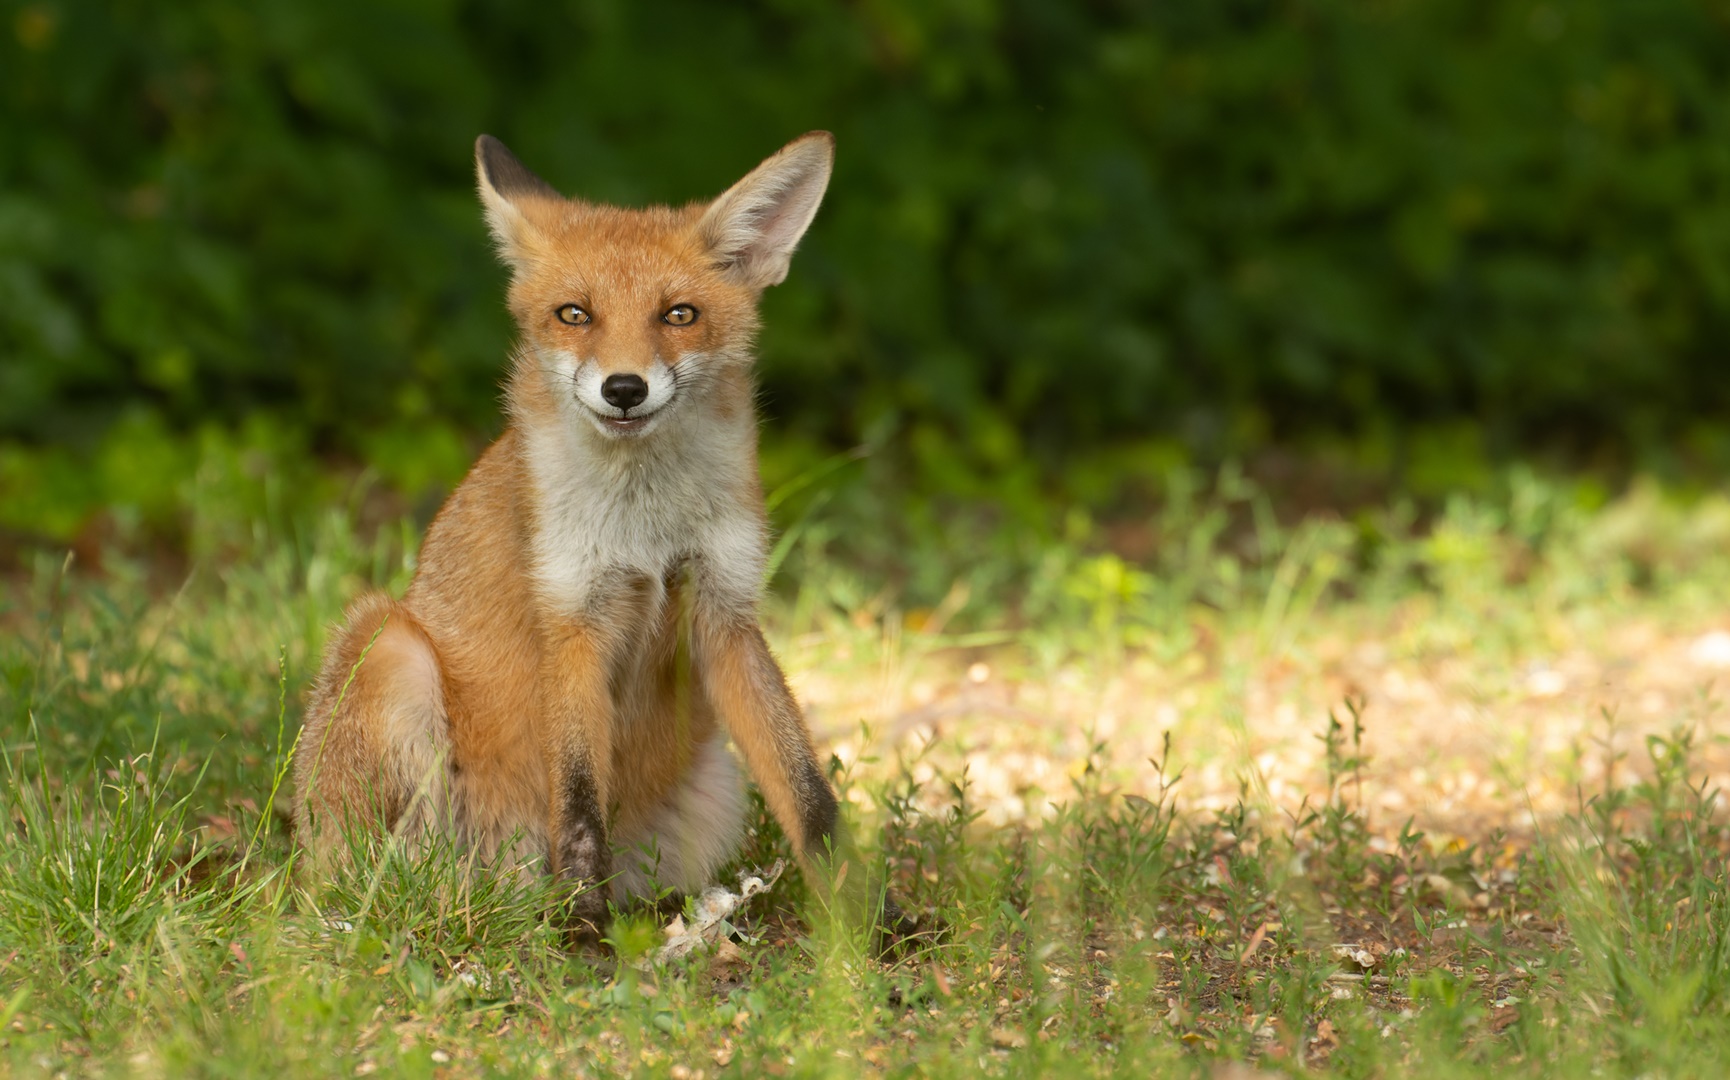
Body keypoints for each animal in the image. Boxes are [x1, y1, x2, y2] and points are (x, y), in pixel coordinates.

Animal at [295, 130, 906, 941]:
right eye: (574, 314)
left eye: (678, 315)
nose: (623, 388)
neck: (646, 528)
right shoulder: (573, 619)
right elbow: (581, 804)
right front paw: (583, 932)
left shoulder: (725, 615)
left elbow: (810, 797)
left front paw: (875, 920)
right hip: (386, 648)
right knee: (386, 874)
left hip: (711, 799)